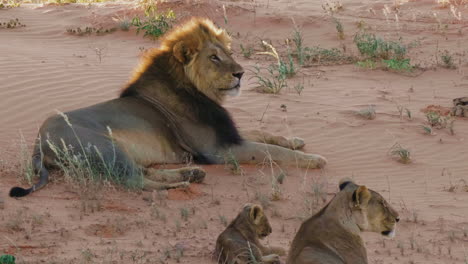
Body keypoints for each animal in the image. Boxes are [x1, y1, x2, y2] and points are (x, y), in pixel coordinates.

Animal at [9, 17, 328, 198]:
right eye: (214, 58)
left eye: (228, 53)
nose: (240, 73)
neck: (199, 91)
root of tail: (38, 144)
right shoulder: (218, 150)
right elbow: (270, 152)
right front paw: (314, 159)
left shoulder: (227, 134)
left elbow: (264, 134)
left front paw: (295, 139)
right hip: (107, 147)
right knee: (136, 182)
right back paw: (182, 185)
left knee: (143, 172)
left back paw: (191, 175)